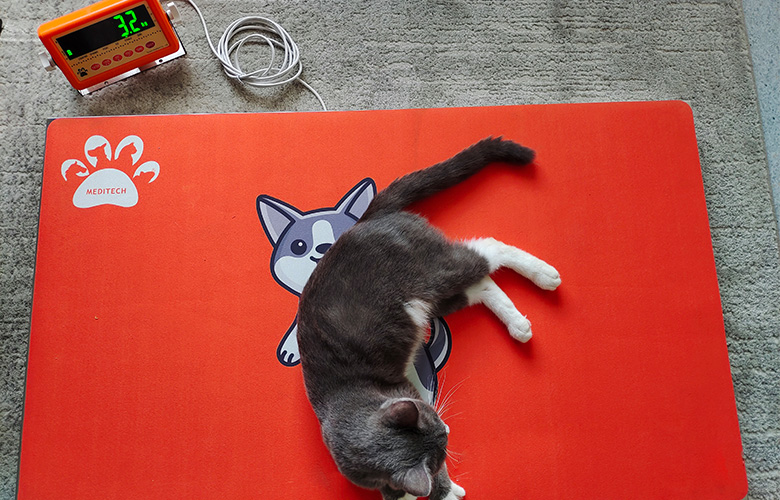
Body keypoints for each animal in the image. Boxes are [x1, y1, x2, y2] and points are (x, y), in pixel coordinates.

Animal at [296, 137, 561, 499]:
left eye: (441, 440)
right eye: (433, 423)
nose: (447, 427)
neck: (353, 411)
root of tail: (366, 220)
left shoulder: (404, 388)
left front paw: (447, 491)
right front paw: (440, 491)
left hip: (431, 272)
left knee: (486, 250)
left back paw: (544, 274)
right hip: (430, 301)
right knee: (480, 284)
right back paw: (518, 324)